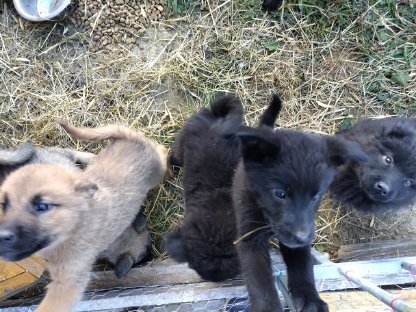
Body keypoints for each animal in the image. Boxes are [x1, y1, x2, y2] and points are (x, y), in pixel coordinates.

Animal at [234, 98, 368, 310]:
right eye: (279, 193)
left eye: (316, 195)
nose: (302, 236)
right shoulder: (249, 239)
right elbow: (259, 282)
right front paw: (268, 308)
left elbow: (303, 265)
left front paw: (310, 298)